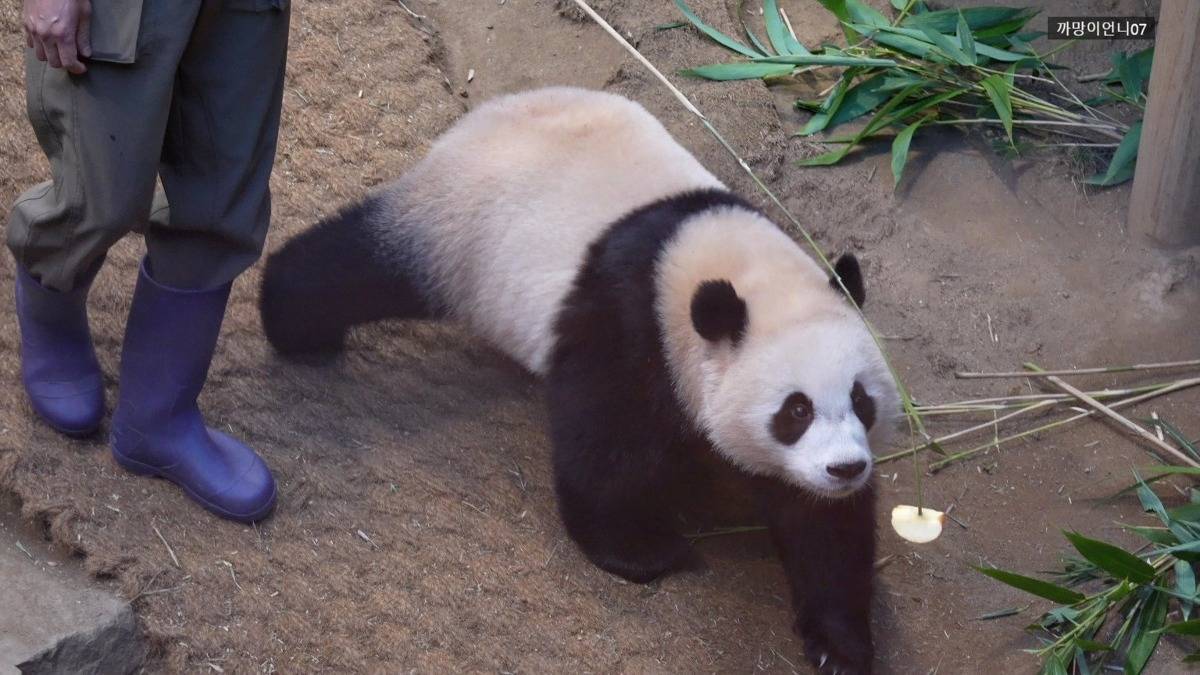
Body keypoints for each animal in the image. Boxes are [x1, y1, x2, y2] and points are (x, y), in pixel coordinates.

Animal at [262, 86, 902, 667]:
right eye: (795, 410)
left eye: (861, 400)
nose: (846, 468)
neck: (721, 263)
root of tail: (477, 120)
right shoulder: (628, 318)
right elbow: (605, 444)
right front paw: (644, 550)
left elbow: (821, 524)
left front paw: (839, 642)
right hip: (458, 231)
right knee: (355, 266)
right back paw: (293, 320)